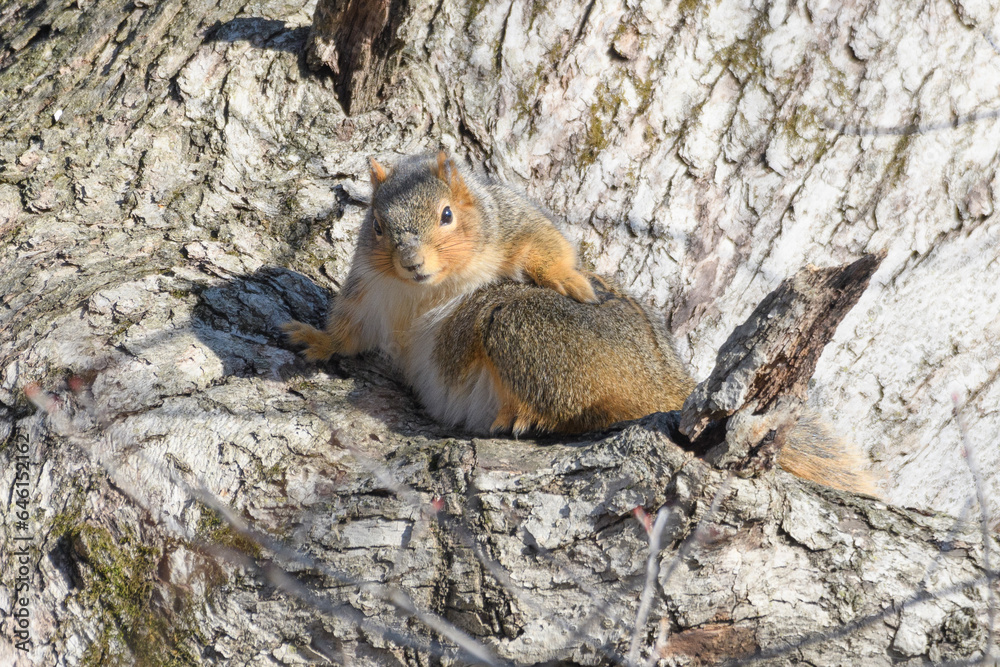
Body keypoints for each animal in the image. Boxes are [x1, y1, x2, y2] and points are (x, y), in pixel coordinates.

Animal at [284, 152, 878, 496]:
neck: (422, 291)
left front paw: (566, 275)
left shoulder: (511, 225)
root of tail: (667, 385)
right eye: (377, 226)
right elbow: (349, 330)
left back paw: (522, 414)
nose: (411, 262)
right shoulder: (371, 295)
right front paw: (313, 339)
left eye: (447, 215)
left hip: (524, 328)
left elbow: (540, 242)